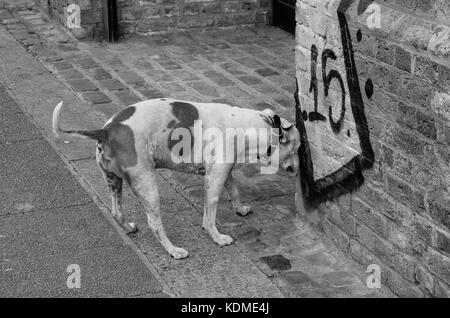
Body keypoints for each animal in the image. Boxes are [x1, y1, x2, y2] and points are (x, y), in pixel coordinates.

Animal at [51, 99, 298, 258]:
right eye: (296, 149)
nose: (296, 170)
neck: (249, 127)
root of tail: (107, 130)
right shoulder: (214, 181)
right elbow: (210, 217)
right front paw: (217, 238)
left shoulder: (222, 172)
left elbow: (234, 189)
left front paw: (240, 209)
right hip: (148, 185)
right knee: (154, 224)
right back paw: (173, 250)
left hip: (113, 181)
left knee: (116, 211)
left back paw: (128, 228)